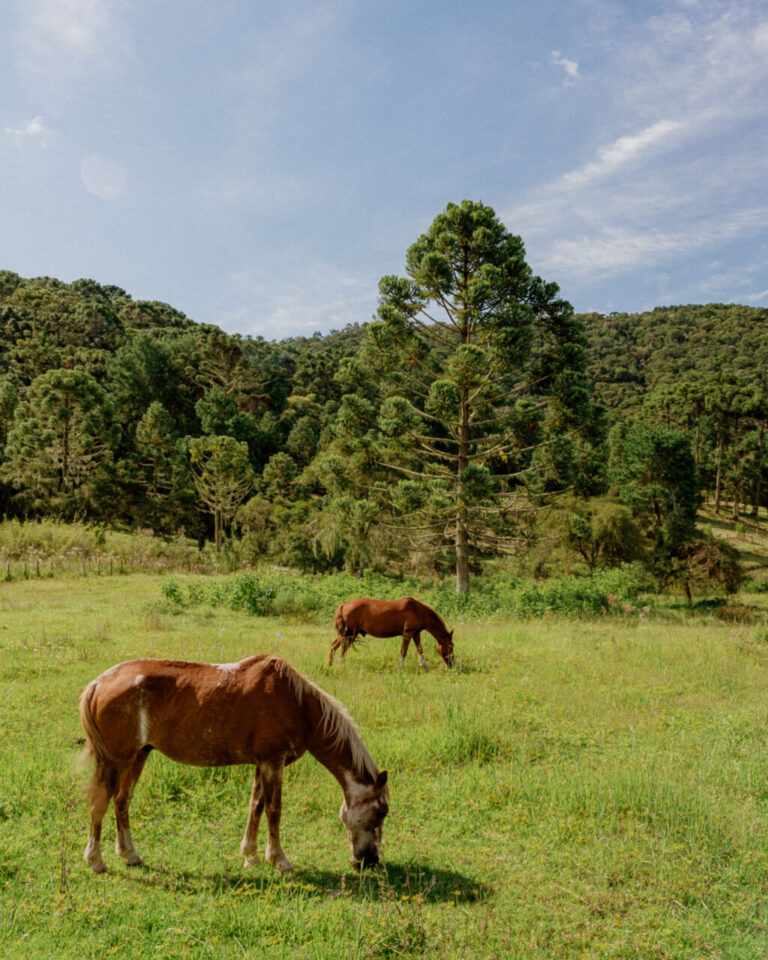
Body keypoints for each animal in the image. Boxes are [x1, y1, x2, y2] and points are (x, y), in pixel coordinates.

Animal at [80, 656, 388, 872]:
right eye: (380, 813)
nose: (369, 861)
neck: (296, 703)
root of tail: (99, 682)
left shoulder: (262, 763)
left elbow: (256, 806)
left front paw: (250, 856)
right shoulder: (273, 761)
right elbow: (274, 810)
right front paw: (279, 860)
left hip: (139, 755)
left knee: (122, 800)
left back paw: (129, 854)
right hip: (116, 760)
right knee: (100, 803)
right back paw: (95, 861)